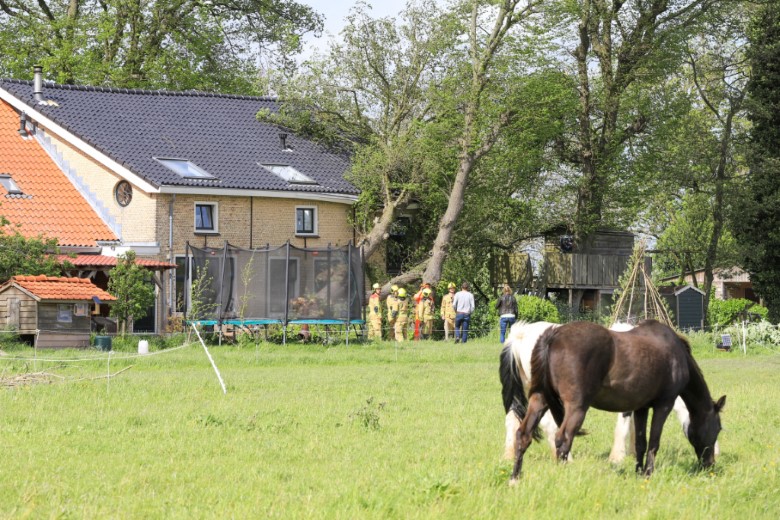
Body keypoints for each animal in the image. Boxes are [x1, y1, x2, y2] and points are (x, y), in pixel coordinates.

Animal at [512, 318, 724, 482]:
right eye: (719, 428)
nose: (710, 464)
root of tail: (553, 336)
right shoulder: (664, 405)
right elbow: (654, 442)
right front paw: (648, 474)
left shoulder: (641, 408)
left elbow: (641, 443)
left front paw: (639, 473)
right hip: (576, 408)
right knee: (563, 439)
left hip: (539, 400)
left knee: (523, 434)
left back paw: (515, 478)